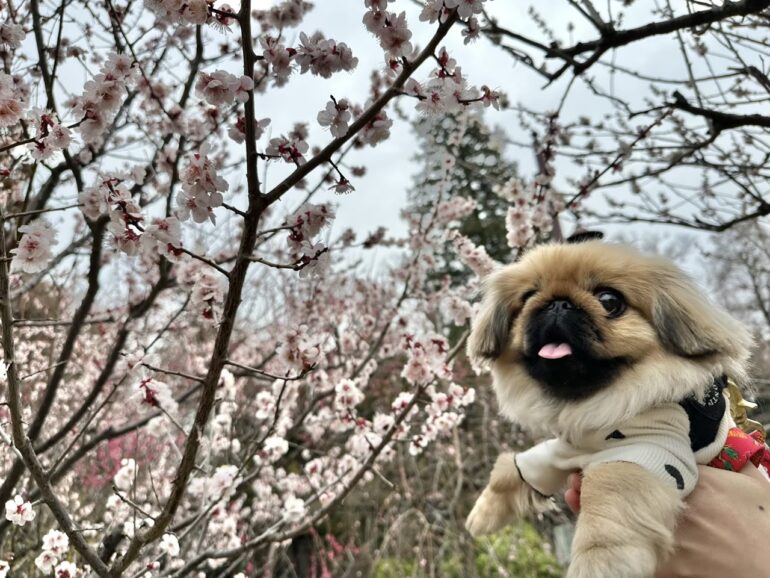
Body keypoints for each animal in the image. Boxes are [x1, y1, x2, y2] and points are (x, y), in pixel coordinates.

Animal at [462, 237, 752, 576]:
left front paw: (600, 562)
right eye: (529, 296)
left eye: (609, 301)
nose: (557, 303)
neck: (595, 403)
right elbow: (514, 470)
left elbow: (609, 495)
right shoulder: (563, 450)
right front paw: (483, 513)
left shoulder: (650, 450)